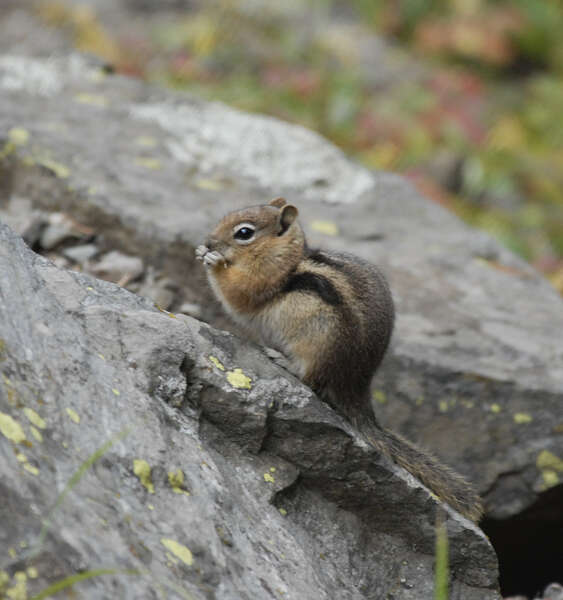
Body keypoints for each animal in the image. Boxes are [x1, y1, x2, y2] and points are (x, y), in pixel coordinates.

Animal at [196, 197, 482, 520]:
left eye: (244, 233)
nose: (208, 240)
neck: (288, 259)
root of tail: (356, 387)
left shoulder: (261, 281)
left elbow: (236, 293)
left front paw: (212, 259)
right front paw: (202, 251)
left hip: (318, 346)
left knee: (311, 380)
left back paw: (282, 359)